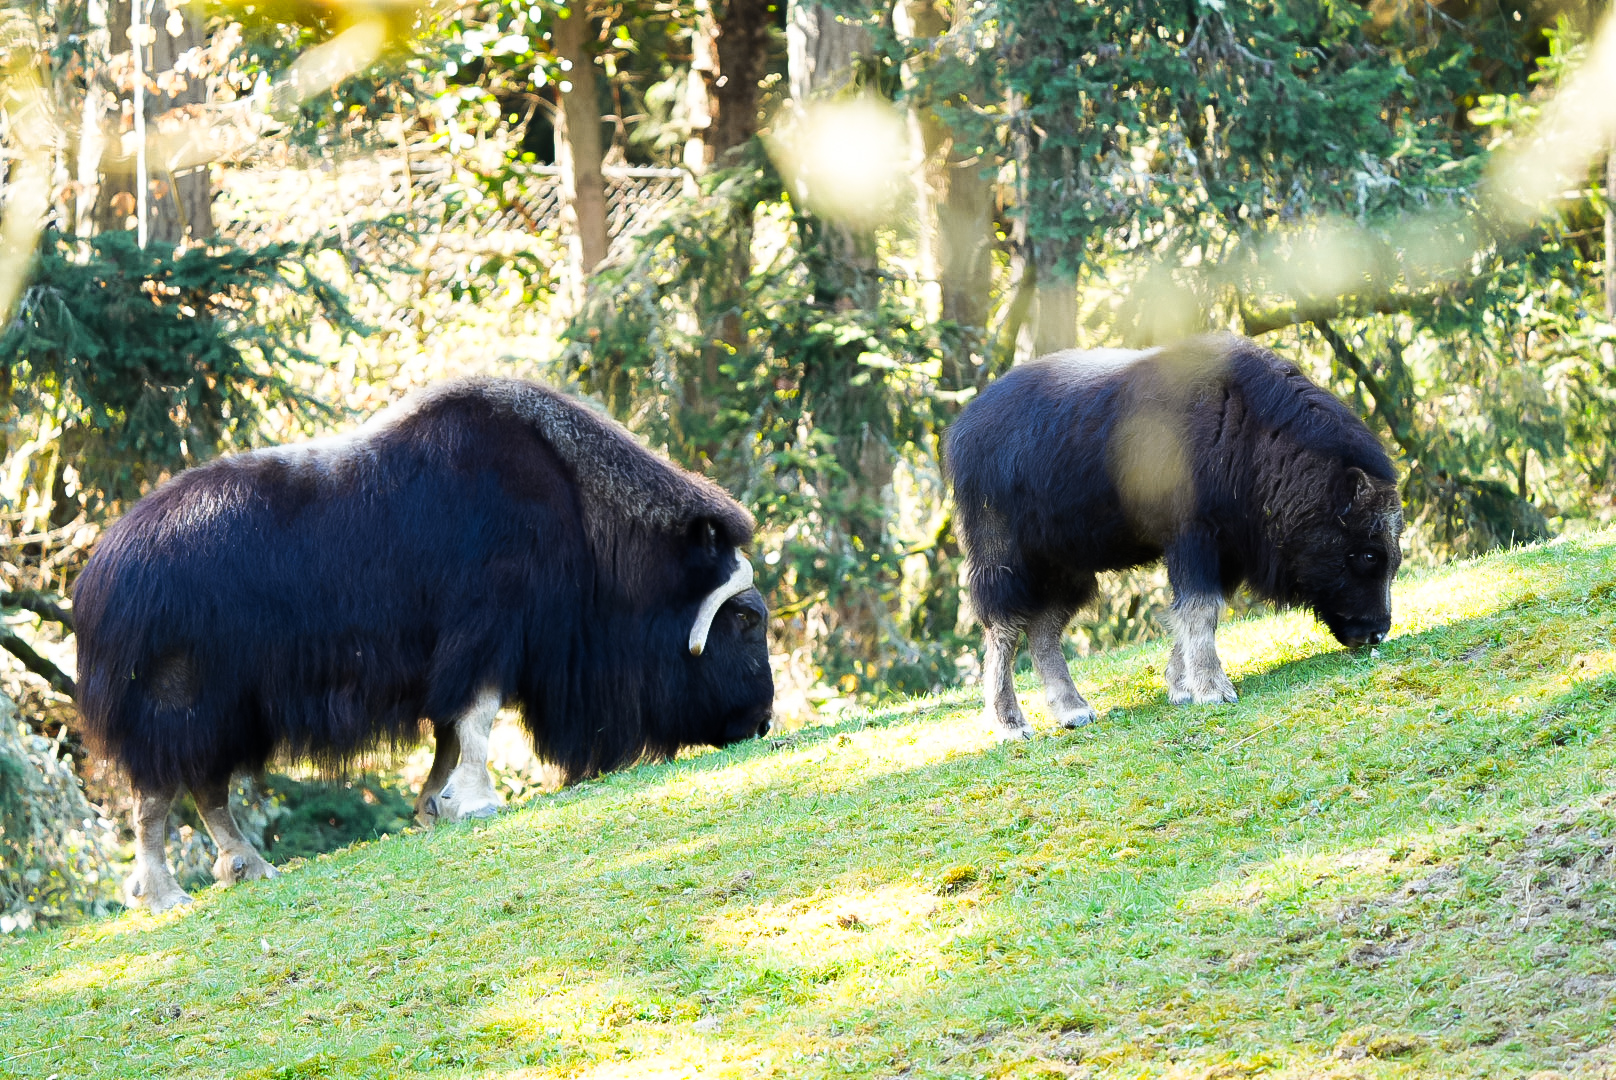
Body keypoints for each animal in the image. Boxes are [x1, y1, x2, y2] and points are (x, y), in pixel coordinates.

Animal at [75, 377, 775, 912]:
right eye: (745, 619)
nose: (764, 719)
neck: (583, 518)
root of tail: (97, 576)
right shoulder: (488, 633)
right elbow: (478, 720)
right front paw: (478, 805)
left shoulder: (458, 657)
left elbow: (449, 733)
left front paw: (435, 805)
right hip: (176, 707)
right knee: (155, 799)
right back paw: (166, 895)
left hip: (222, 718)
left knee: (207, 789)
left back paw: (251, 866)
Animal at [945, 333, 1402, 739]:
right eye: (1367, 555)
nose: (1376, 632)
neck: (1253, 435)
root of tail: (963, 428)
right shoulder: (1193, 538)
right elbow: (1200, 609)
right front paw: (1213, 690)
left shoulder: (1223, 552)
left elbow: (1199, 611)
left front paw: (1182, 687)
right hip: (1003, 558)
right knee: (1003, 630)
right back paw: (1011, 724)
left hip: (1069, 568)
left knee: (1044, 629)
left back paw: (1074, 710)